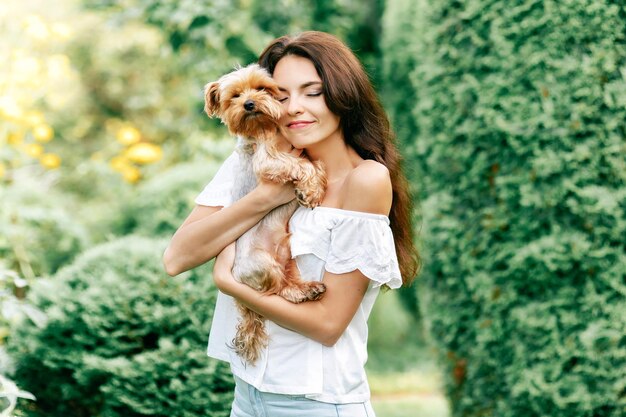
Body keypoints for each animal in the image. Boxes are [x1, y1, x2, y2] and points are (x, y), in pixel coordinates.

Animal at [205, 63, 326, 362]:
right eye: (235, 96)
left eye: (262, 88)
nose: (249, 103)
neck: (266, 128)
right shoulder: (269, 160)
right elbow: (300, 164)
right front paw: (311, 189)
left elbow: (313, 163)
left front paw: (313, 186)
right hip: (264, 265)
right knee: (278, 292)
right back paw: (298, 293)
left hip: (288, 259)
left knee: (288, 281)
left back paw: (308, 288)